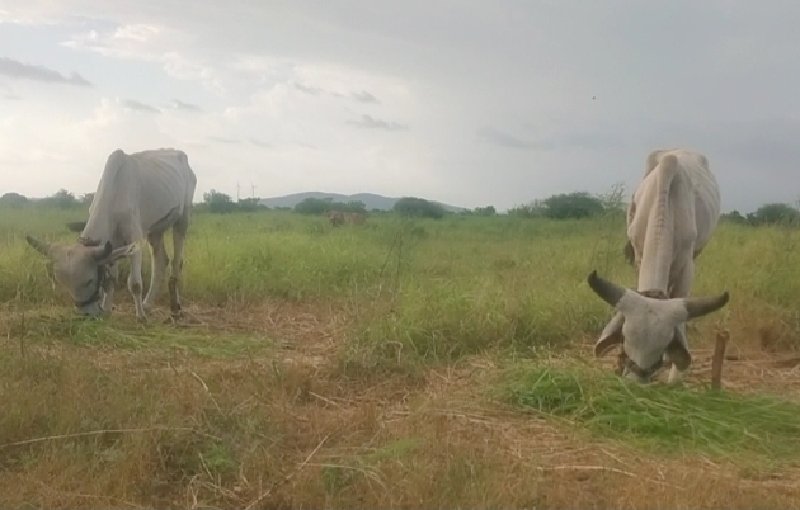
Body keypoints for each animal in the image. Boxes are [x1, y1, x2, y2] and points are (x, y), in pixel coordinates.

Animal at [27, 147, 197, 320]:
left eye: (89, 280)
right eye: (64, 283)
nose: (86, 314)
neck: (114, 192)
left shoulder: (134, 238)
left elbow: (135, 283)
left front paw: (140, 317)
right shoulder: (111, 244)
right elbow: (110, 279)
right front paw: (107, 309)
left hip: (183, 218)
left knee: (177, 261)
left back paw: (174, 308)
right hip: (155, 229)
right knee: (161, 262)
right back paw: (148, 304)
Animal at [588, 147, 732, 382]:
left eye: (662, 347)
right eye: (625, 341)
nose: (634, 382)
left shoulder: (687, 266)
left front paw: (675, 376)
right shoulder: (639, 253)